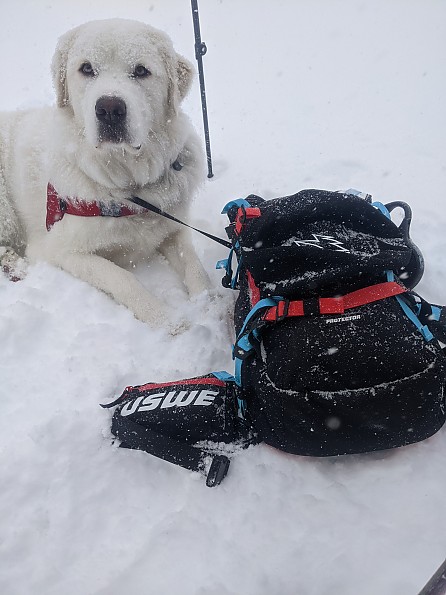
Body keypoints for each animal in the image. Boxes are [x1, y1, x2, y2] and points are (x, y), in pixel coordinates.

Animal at [0, 17, 211, 330]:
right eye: (86, 68)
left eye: (141, 71)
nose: (110, 108)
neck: (127, 184)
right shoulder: (61, 250)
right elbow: (122, 278)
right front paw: (168, 322)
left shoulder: (174, 228)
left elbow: (195, 266)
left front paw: (213, 307)